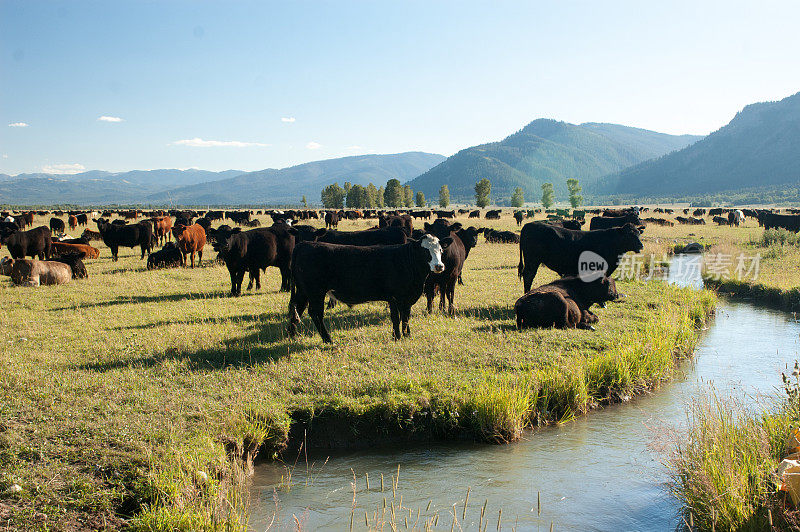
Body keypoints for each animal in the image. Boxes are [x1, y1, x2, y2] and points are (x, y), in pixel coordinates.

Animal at [288, 234, 450, 342]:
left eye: (441, 250)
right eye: (425, 251)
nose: (439, 266)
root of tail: (303, 244)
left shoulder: (406, 298)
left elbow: (405, 316)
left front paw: (406, 335)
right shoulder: (394, 297)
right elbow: (396, 317)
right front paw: (397, 337)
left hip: (303, 291)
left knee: (297, 309)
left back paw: (292, 335)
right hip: (315, 292)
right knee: (315, 313)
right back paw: (328, 339)